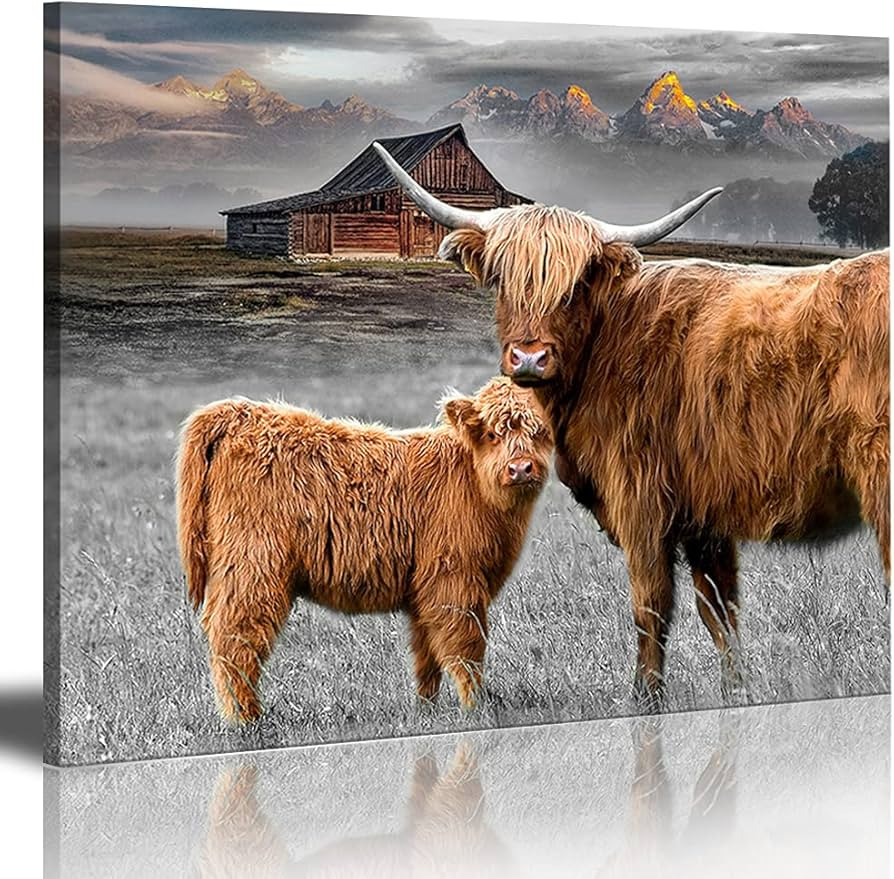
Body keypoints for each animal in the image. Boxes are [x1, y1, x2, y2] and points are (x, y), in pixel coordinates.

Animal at [176, 377, 552, 723]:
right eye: (493, 434)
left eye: (540, 431)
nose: (521, 468)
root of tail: (243, 411)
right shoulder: (453, 580)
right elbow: (466, 647)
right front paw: (476, 709)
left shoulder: (425, 591)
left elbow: (426, 654)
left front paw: (425, 712)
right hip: (254, 565)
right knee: (234, 638)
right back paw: (247, 719)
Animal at [374, 141, 890, 705]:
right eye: (501, 278)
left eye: (576, 284)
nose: (529, 358)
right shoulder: (704, 516)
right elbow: (720, 608)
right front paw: (736, 691)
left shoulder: (641, 499)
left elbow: (651, 604)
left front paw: (646, 696)